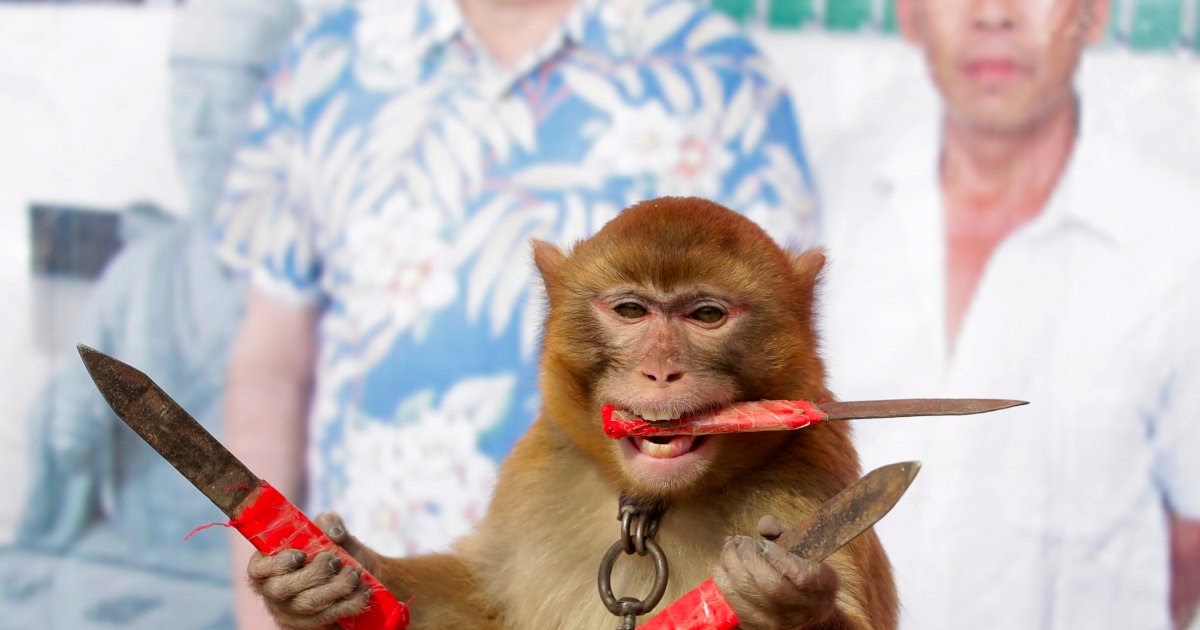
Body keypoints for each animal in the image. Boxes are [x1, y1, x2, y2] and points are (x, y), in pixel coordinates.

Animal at [247, 196, 898, 630]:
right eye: (632, 310)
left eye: (707, 316)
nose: (661, 370)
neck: (655, 504)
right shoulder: (537, 470)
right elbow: (479, 609)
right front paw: (318, 583)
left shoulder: (807, 486)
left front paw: (783, 603)